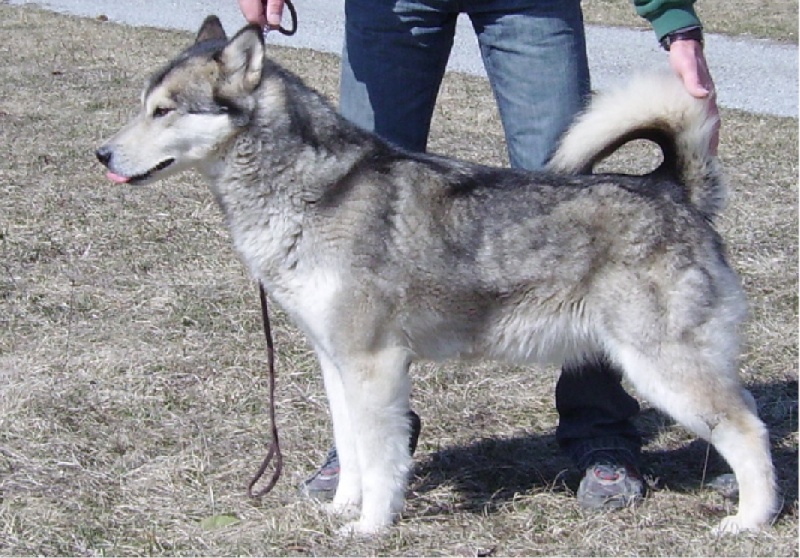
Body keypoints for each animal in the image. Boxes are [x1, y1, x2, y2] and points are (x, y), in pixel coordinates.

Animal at [97, 15, 780, 536]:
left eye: (163, 111)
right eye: (142, 107)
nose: (100, 154)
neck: (310, 189)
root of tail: (672, 188)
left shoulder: (374, 365)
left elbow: (381, 461)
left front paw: (370, 529)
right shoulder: (336, 363)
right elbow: (351, 450)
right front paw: (342, 508)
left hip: (662, 368)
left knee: (750, 429)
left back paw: (750, 521)